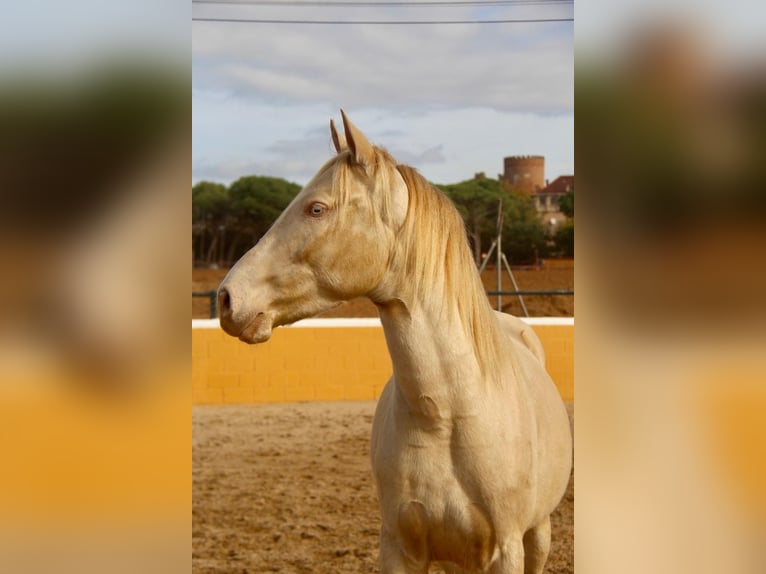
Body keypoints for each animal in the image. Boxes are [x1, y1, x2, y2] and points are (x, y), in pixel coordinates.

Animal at [217, 111, 572, 574]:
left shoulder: (505, 550)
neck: (447, 416)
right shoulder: (400, 547)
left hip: (538, 535)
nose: (227, 298)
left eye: (317, 208)